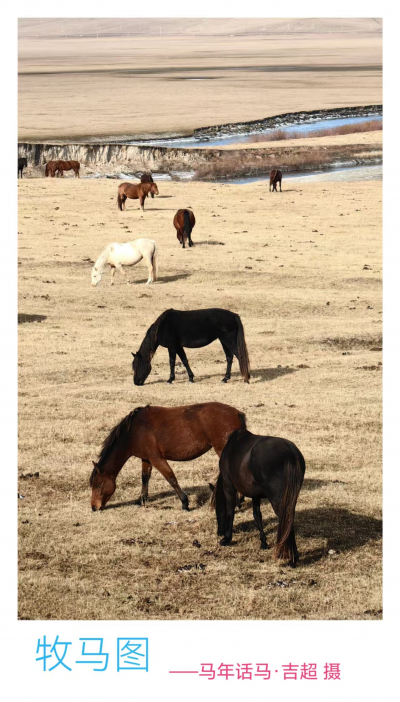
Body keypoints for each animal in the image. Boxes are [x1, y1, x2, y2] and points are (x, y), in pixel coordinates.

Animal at [90, 402, 246, 511]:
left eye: (98, 485)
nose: (94, 507)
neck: (133, 432)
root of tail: (236, 413)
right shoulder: (146, 458)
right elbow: (145, 478)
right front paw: (142, 500)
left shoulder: (156, 459)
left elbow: (171, 478)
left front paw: (184, 503)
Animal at [215, 426, 305, 566]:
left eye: (217, 511)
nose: (219, 533)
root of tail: (290, 454)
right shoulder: (255, 495)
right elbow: (257, 515)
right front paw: (263, 542)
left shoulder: (229, 487)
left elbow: (230, 512)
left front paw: (227, 539)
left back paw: (291, 558)